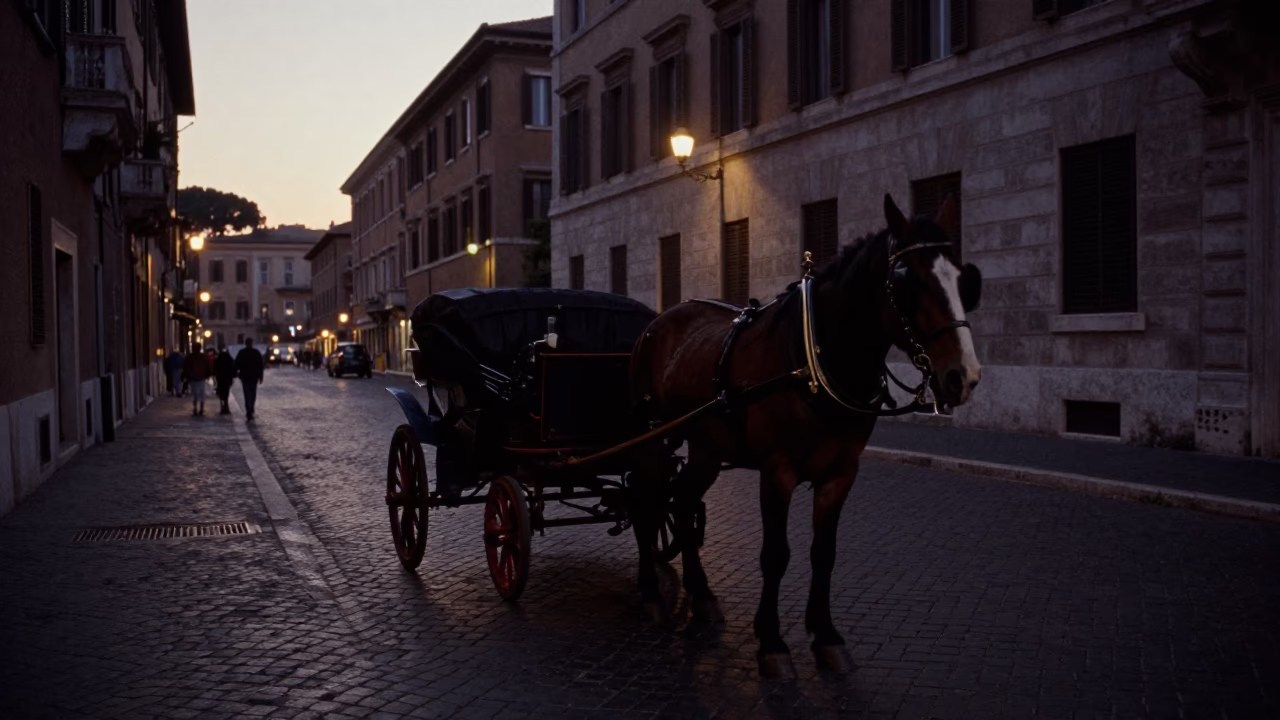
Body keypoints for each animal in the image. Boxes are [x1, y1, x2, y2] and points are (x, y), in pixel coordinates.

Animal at [627, 193, 983, 679]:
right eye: (909, 283)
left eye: (964, 281)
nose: (963, 376)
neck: (813, 359)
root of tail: (657, 323)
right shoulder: (777, 471)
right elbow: (776, 555)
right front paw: (772, 642)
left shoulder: (841, 473)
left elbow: (824, 552)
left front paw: (826, 635)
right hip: (651, 440)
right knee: (646, 506)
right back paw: (649, 595)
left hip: (705, 448)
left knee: (680, 502)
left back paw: (701, 595)